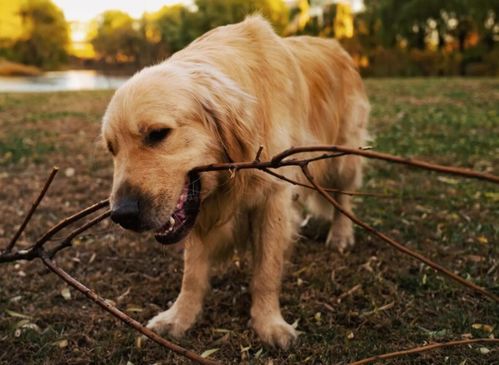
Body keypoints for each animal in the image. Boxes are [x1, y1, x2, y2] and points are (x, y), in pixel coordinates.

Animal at [101, 16, 370, 346]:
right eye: (111, 148)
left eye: (158, 134)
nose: (122, 215)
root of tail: (336, 46)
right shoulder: (199, 212)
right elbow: (192, 274)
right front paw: (180, 316)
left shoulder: (273, 196)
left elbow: (266, 270)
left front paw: (269, 323)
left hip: (343, 155)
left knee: (343, 196)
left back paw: (341, 236)